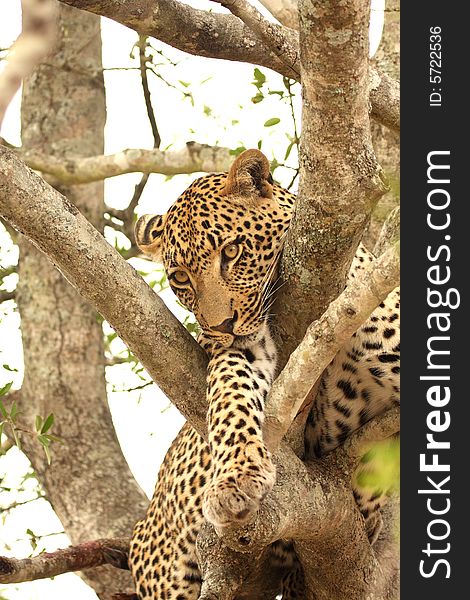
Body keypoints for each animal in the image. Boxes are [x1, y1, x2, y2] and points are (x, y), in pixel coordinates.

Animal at [129, 148, 400, 596]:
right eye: (181, 277)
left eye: (232, 252)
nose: (220, 326)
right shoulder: (240, 352)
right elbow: (230, 399)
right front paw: (235, 479)